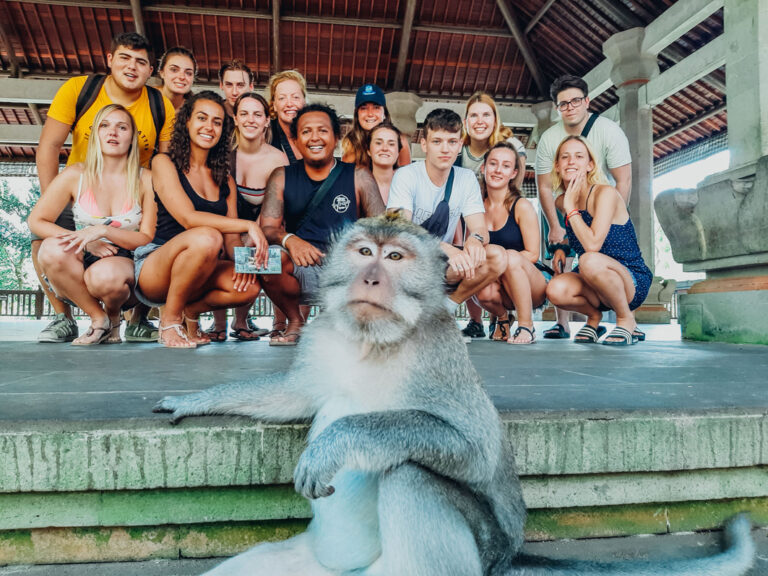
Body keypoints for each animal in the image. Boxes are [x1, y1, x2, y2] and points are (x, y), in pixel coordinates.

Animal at [153, 213, 752, 576]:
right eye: (364, 251)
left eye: (395, 259)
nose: (370, 279)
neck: (375, 342)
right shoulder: (324, 337)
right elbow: (293, 395)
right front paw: (193, 399)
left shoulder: (438, 355)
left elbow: (475, 448)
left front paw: (337, 442)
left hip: (475, 551)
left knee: (411, 475)